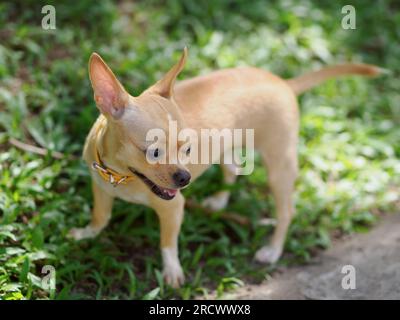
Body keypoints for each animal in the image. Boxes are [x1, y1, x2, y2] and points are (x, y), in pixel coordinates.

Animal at [69, 47, 382, 288]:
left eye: (187, 149)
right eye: (154, 152)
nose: (184, 178)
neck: (120, 175)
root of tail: (283, 82)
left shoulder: (173, 207)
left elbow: (167, 243)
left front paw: (172, 271)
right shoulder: (100, 189)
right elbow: (101, 218)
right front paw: (86, 233)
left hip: (279, 167)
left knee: (286, 211)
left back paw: (272, 250)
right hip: (227, 146)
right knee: (233, 167)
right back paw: (220, 201)